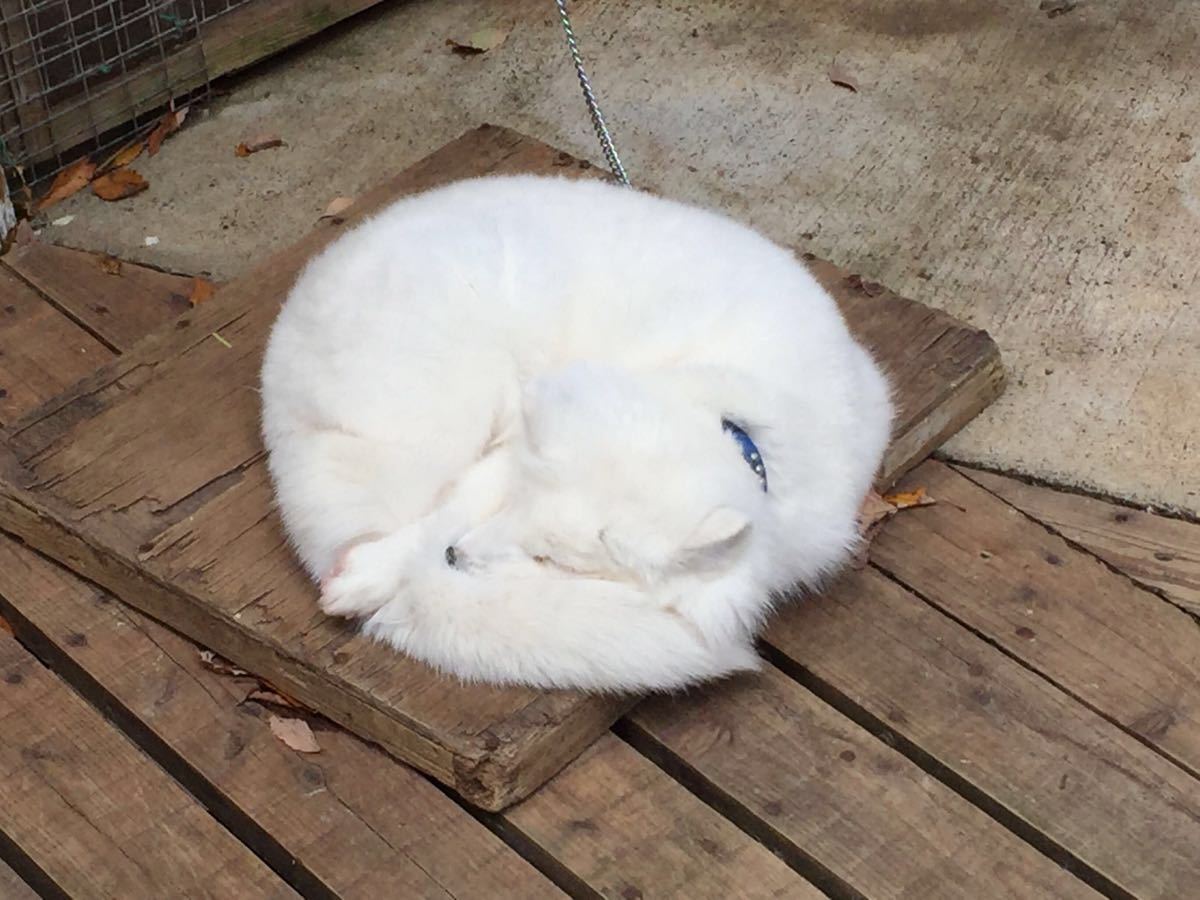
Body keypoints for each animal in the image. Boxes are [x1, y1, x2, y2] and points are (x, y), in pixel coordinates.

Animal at [260, 174, 892, 693]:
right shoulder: (514, 448)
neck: (744, 423)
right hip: (451, 407)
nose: (455, 555)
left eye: (555, 562)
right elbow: (448, 509)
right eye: (518, 508)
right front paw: (373, 573)